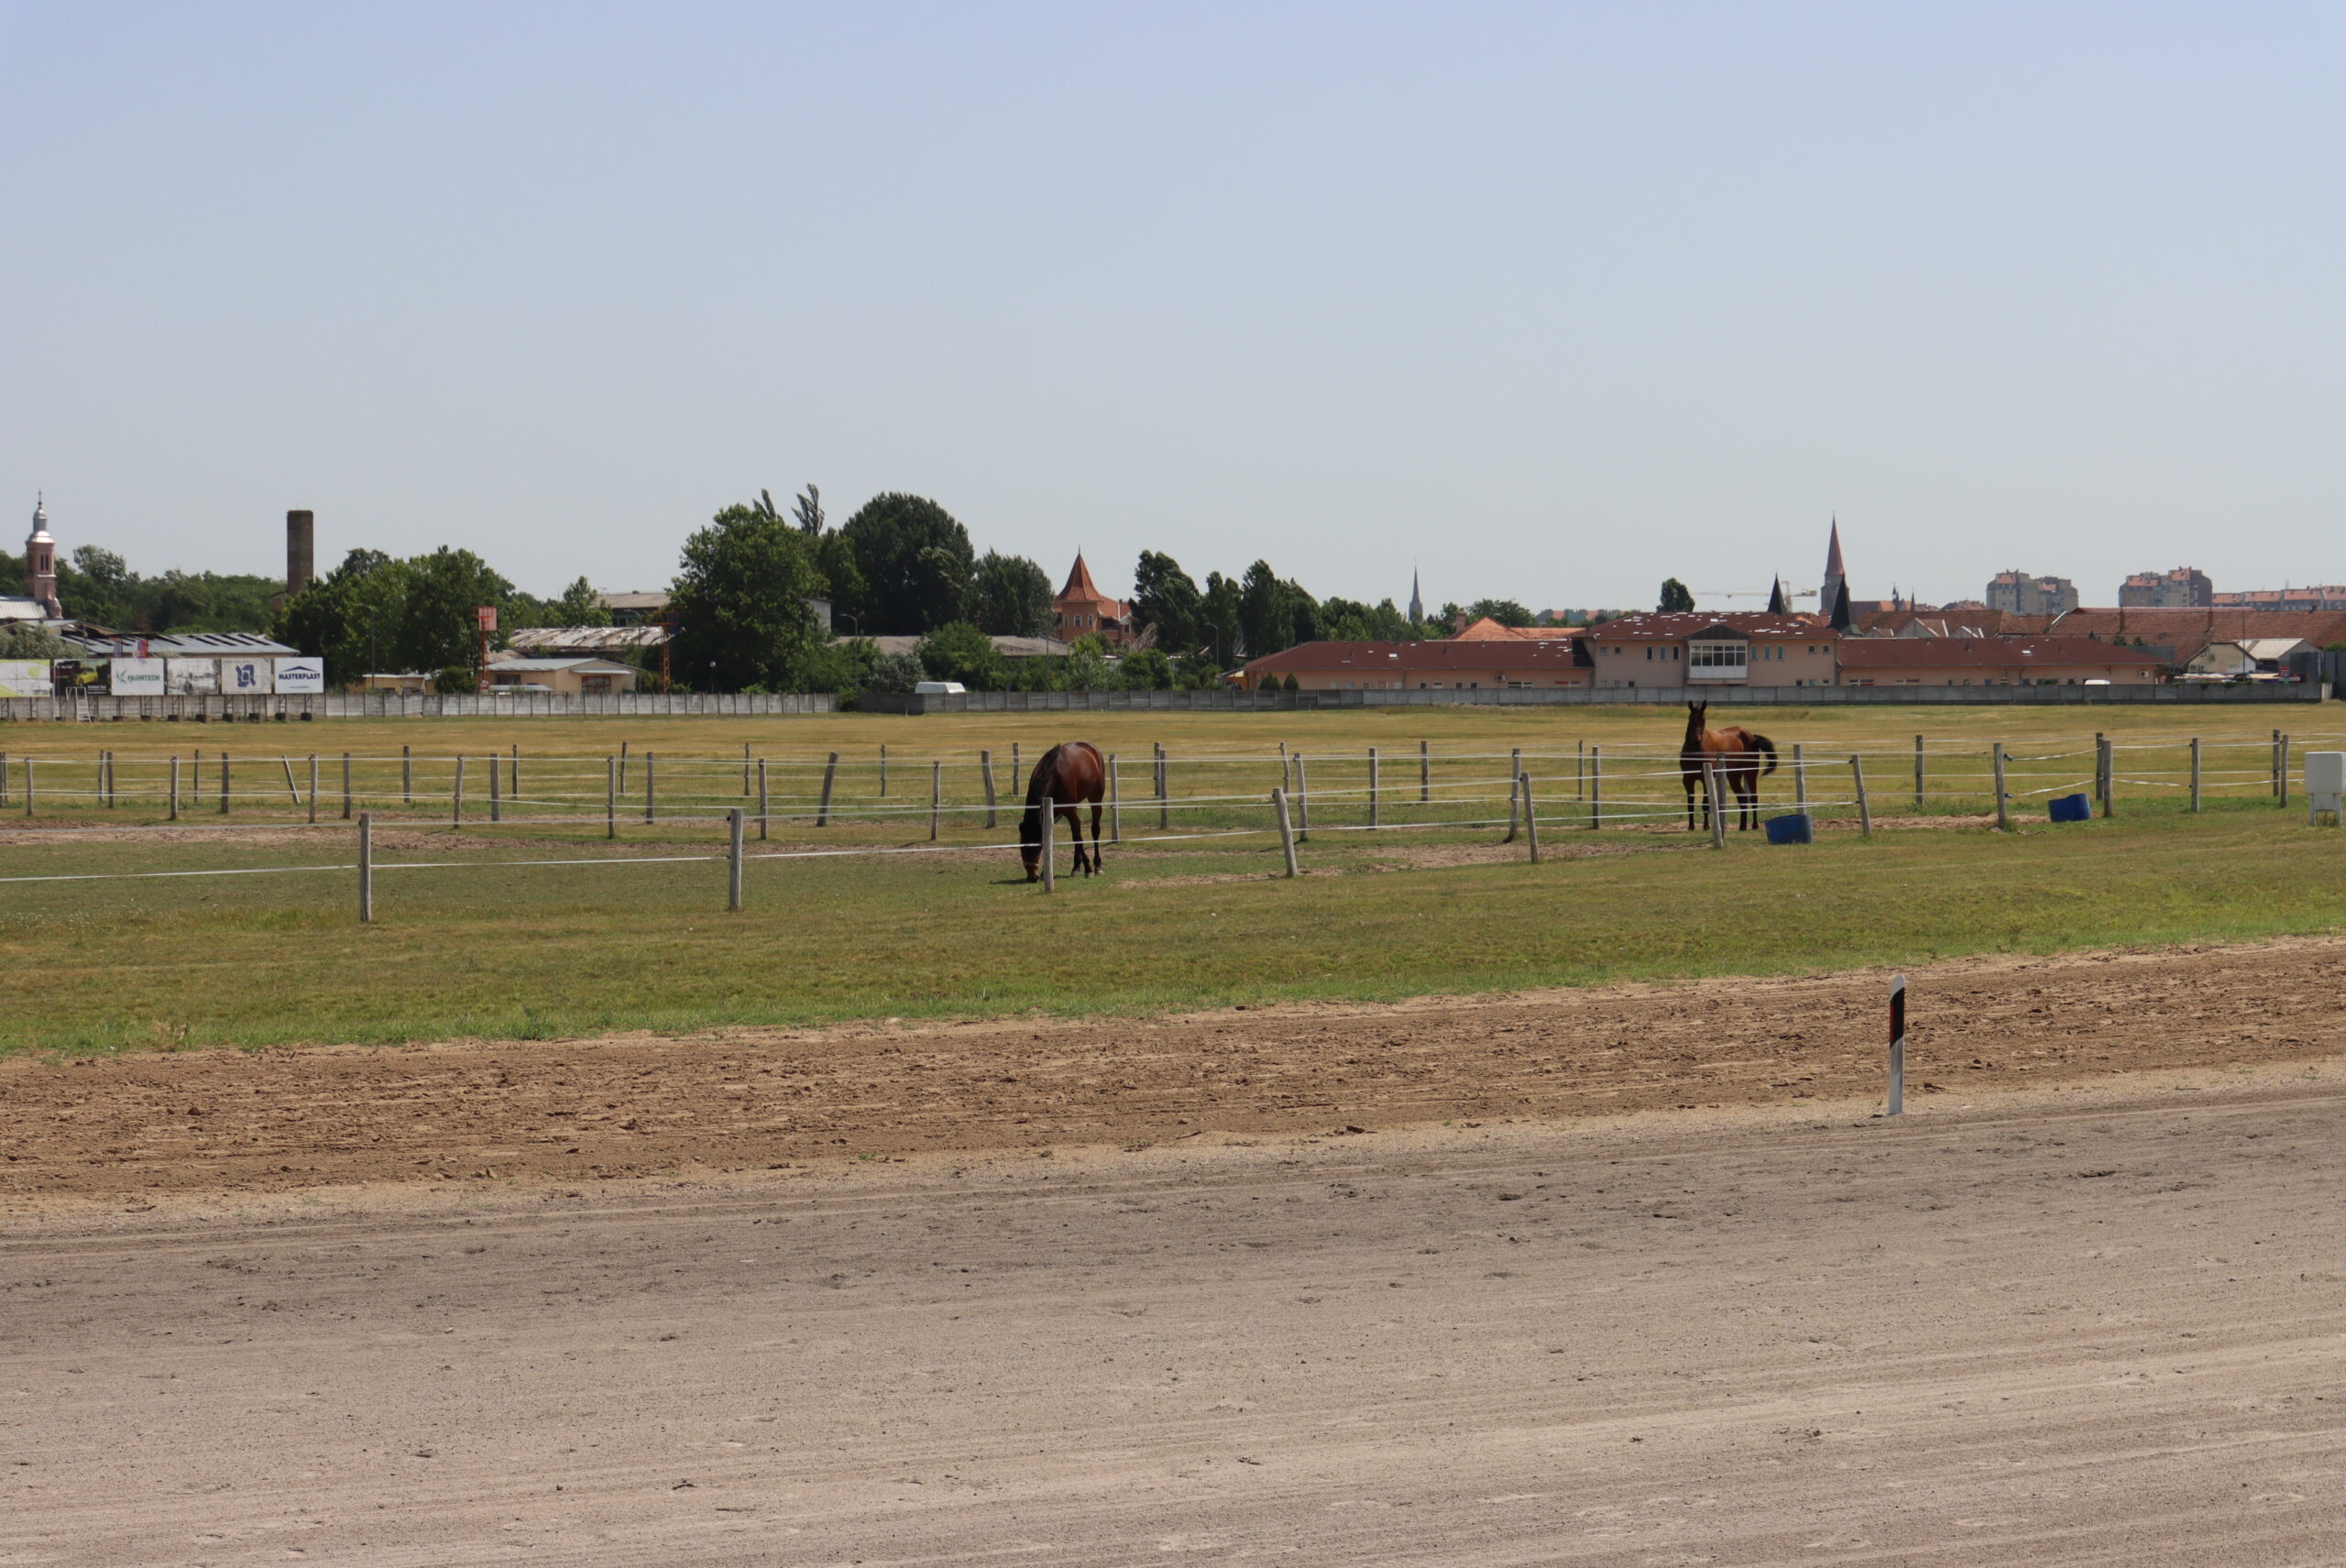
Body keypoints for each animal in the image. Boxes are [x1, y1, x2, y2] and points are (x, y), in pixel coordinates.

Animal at [1018, 741, 1108, 881]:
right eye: (1022, 848)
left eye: (1037, 846)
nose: (1032, 877)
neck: (1053, 774)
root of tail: (1093, 750)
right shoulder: (1051, 812)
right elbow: (1053, 838)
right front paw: (1045, 873)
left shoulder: (1069, 810)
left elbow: (1078, 837)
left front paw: (1088, 868)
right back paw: (1076, 867)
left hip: (1095, 798)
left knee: (1094, 830)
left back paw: (1097, 865)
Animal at [1680, 700, 1778, 832]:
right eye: (1691, 718)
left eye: (1703, 719)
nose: (1697, 739)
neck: (1695, 751)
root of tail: (1752, 736)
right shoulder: (1687, 779)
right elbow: (1690, 804)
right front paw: (1691, 826)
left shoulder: (1705, 779)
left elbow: (1706, 803)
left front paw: (1706, 826)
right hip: (1734, 776)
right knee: (1742, 798)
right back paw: (1742, 826)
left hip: (1750, 773)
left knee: (1753, 797)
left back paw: (1754, 825)